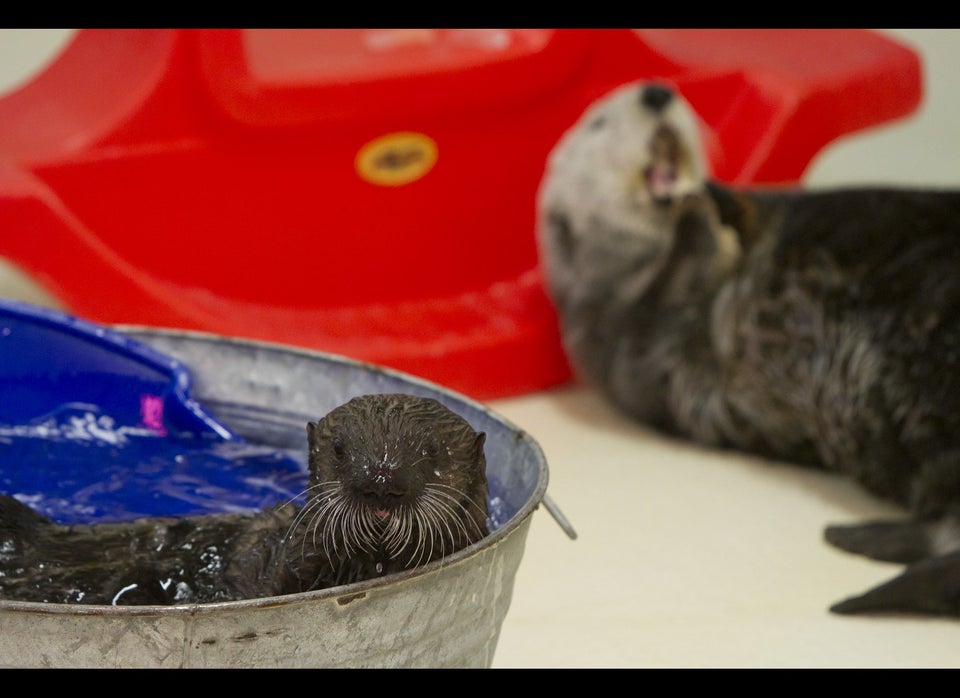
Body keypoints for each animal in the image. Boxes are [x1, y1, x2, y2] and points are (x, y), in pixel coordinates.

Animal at [537, 81, 960, 617]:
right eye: (597, 124)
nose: (656, 92)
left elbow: (754, 208)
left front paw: (711, 195)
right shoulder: (624, 337)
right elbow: (656, 326)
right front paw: (696, 212)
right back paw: (857, 549)